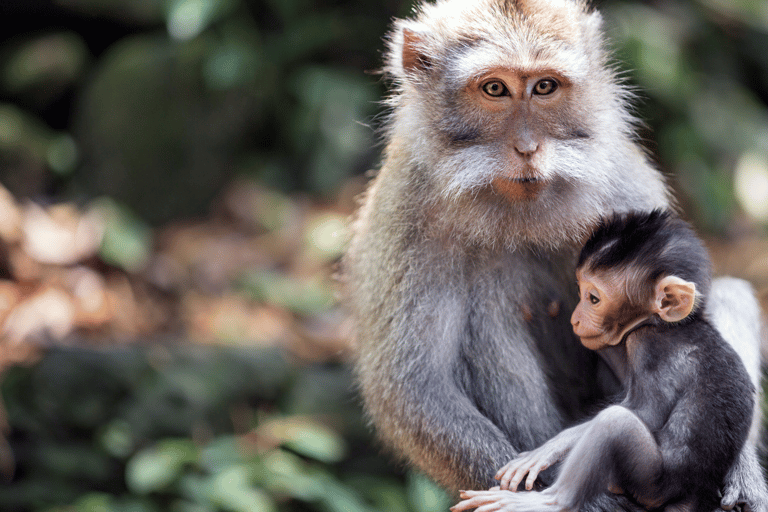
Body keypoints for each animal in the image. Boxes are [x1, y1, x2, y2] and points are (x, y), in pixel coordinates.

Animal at [451, 210, 758, 512]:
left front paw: (549, 449)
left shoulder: (649, 347)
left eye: (593, 298)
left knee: (615, 423)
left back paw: (549, 502)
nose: (575, 319)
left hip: (653, 483)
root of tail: (692, 494)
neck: (669, 325)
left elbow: (644, 412)